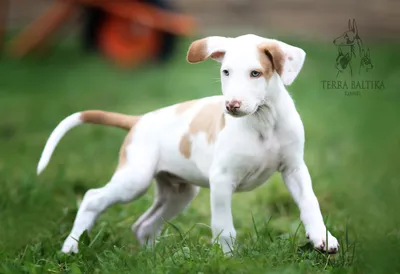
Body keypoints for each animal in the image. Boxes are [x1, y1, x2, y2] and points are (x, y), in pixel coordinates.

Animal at [36, 33, 338, 255]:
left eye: (255, 73)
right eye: (226, 72)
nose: (231, 105)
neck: (263, 119)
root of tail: (139, 120)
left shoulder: (294, 169)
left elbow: (310, 203)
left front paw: (322, 237)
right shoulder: (221, 180)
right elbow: (224, 226)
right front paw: (227, 259)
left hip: (179, 193)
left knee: (143, 225)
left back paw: (150, 258)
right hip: (135, 180)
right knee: (92, 199)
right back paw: (70, 246)